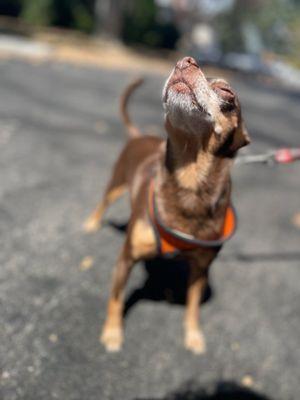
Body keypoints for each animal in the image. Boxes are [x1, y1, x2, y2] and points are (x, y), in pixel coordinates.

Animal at [83, 56, 250, 354]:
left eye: (228, 93)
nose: (186, 61)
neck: (189, 178)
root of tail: (139, 135)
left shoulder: (200, 269)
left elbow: (193, 307)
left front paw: (193, 334)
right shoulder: (125, 259)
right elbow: (116, 298)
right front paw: (113, 332)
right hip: (116, 183)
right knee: (103, 202)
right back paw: (91, 223)